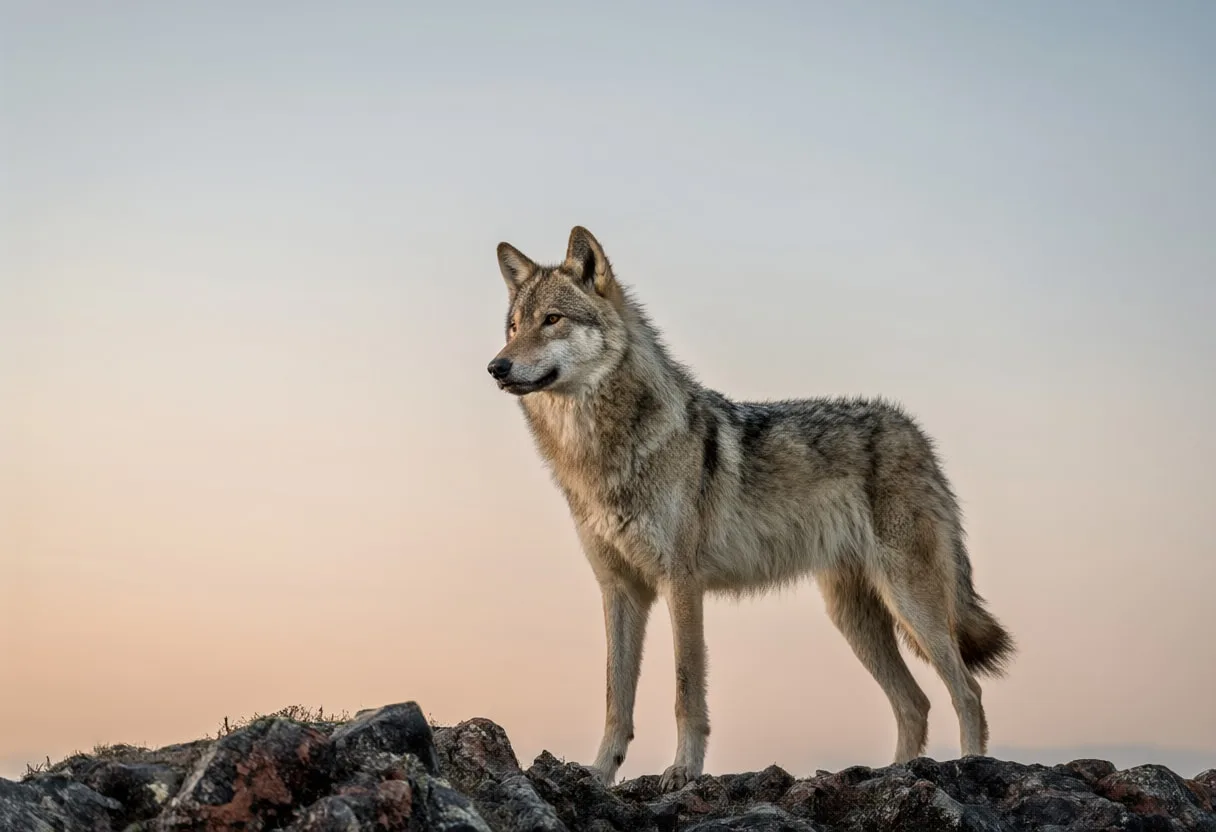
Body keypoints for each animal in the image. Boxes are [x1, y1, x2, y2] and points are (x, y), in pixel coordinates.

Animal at [486, 226, 1015, 792]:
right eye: (514, 326)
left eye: (552, 320)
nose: (496, 367)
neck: (599, 455)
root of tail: (914, 431)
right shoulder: (619, 590)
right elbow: (615, 698)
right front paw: (599, 773)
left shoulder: (681, 583)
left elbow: (686, 691)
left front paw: (682, 771)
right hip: (854, 617)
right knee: (915, 703)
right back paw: (896, 774)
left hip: (912, 604)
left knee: (967, 692)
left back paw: (967, 768)